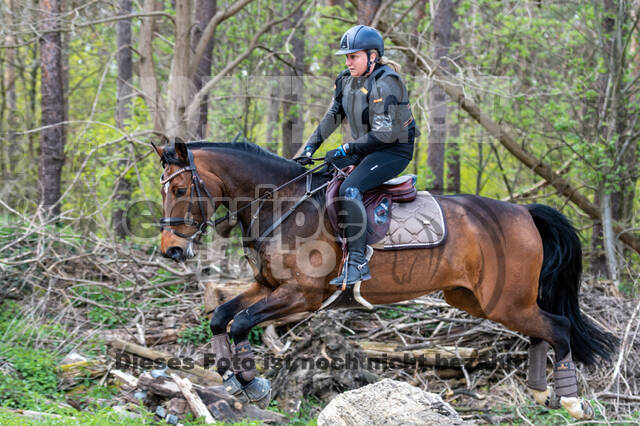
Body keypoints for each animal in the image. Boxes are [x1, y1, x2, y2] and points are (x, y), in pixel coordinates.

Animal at [152, 141, 616, 420]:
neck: (282, 203)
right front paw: (232, 378)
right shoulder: (267, 287)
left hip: (504, 301)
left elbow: (243, 322)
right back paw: (541, 392)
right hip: (479, 300)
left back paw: (570, 400)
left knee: (558, 327)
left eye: (180, 190)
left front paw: (253, 384)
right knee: (542, 330)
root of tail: (524, 212)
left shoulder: (301, 294)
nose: (171, 249)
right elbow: (221, 317)